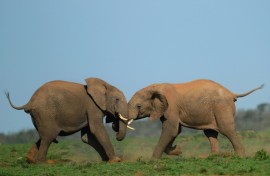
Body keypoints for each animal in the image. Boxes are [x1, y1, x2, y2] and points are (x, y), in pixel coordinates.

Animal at [5, 78, 133, 164]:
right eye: (117, 99)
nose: (115, 126)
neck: (105, 85)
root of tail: (29, 102)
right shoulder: (92, 106)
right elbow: (96, 129)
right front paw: (116, 160)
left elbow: (87, 137)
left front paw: (106, 160)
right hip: (45, 113)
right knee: (49, 136)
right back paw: (43, 163)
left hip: (39, 115)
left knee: (44, 136)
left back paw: (31, 160)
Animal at [127, 79, 264, 159]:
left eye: (139, 106)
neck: (155, 87)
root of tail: (231, 93)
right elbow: (175, 131)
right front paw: (178, 151)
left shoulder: (171, 107)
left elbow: (171, 129)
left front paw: (153, 161)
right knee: (210, 132)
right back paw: (208, 156)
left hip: (221, 107)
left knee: (227, 129)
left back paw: (239, 157)